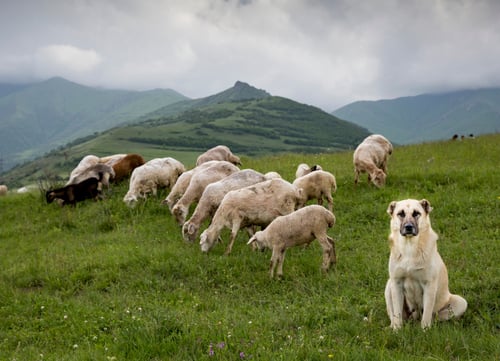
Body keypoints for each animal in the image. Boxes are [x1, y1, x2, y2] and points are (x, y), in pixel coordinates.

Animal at [384, 200, 466, 330]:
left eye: (416, 213)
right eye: (401, 214)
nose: (408, 227)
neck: (409, 247)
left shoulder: (429, 284)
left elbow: (427, 312)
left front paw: (425, 330)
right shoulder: (396, 282)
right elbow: (397, 312)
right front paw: (397, 330)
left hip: (460, 302)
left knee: (434, 316)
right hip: (389, 286)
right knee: (394, 316)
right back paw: (393, 327)